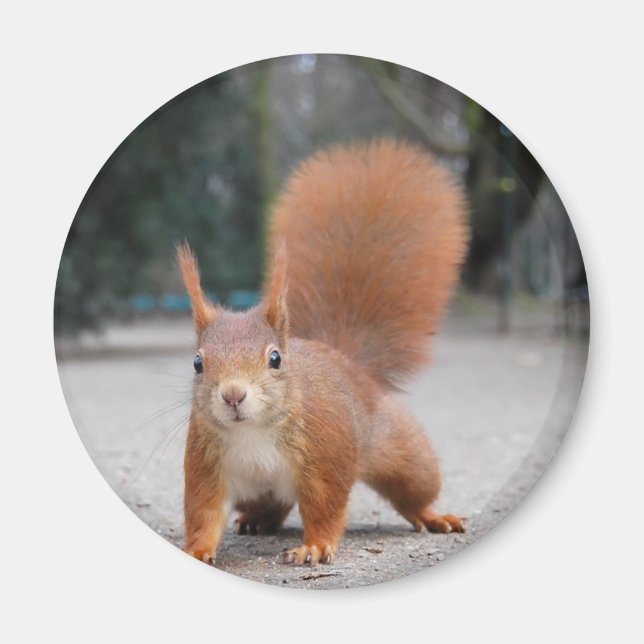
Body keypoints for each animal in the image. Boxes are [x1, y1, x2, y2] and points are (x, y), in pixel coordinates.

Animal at [177, 139, 469, 566]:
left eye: (275, 358)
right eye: (198, 363)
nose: (233, 395)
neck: (253, 431)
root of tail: (345, 361)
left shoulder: (325, 455)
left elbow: (325, 506)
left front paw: (313, 546)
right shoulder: (204, 463)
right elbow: (204, 510)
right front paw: (197, 549)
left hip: (403, 452)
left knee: (414, 491)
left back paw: (434, 516)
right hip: (256, 491)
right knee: (271, 504)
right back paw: (257, 520)